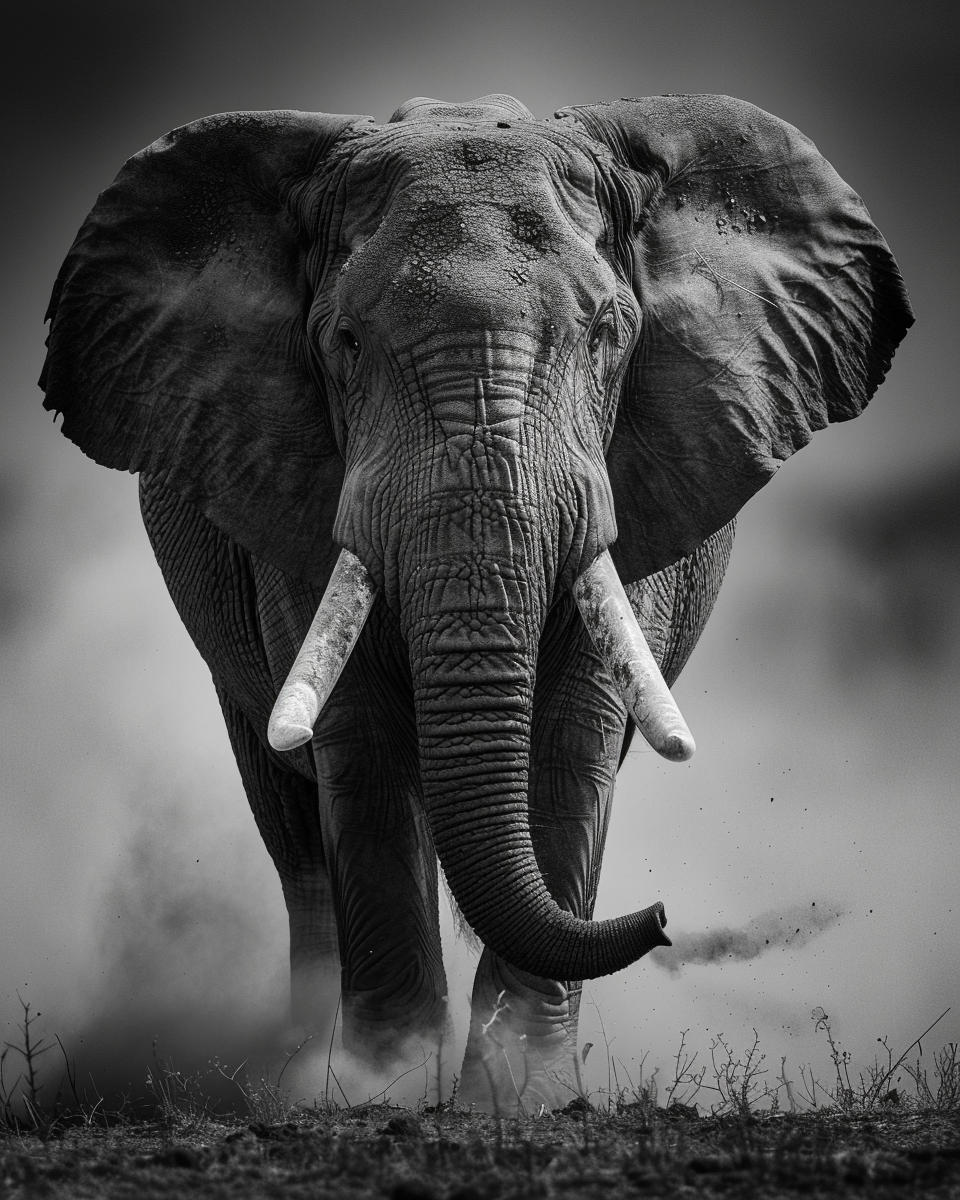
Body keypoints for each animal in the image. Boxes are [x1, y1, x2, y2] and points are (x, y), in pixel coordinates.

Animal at [40, 92, 911, 1110]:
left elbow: (575, 738)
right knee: (294, 829)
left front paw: (520, 1099)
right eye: (343, 344)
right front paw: (380, 1090)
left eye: (607, 335)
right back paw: (302, 1070)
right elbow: (359, 744)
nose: (662, 917)